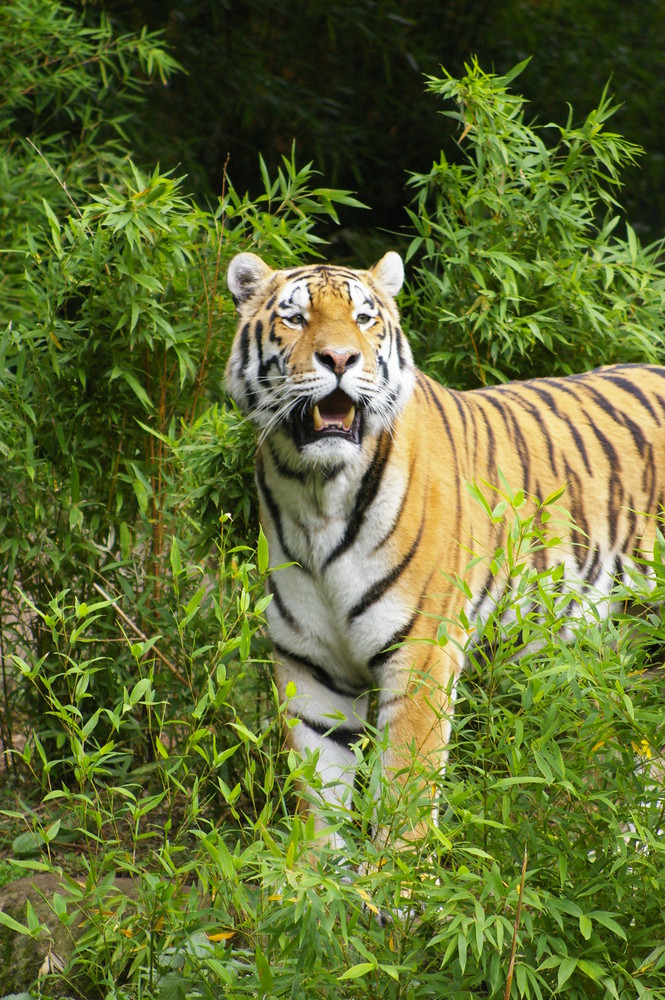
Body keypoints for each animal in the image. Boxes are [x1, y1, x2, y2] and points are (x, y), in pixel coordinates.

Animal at [226, 250, 664, 844]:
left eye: (364, 319)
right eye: (295, 319)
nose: (339, 358)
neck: (319, 492)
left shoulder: (421, 653)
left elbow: (406, 794)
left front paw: (398, 871)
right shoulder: (309, 666)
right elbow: (319, 805)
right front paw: (317, 870)